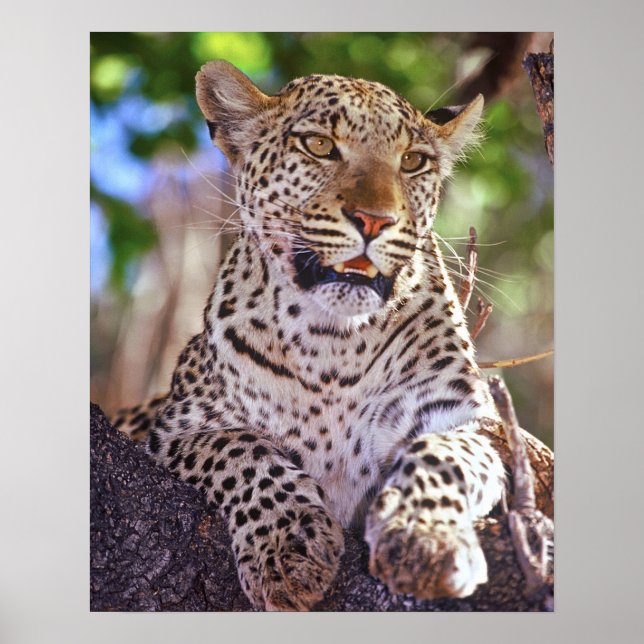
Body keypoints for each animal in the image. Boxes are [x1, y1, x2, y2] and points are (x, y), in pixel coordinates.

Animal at [112, 60, 506, 611]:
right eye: (319, 145)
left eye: (412, 162)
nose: (375, 220)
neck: (334, 342)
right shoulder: (180, 429)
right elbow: (244, 453)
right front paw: (287, 547)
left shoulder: (465, 419)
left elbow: (440, 457)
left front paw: (422, 539)